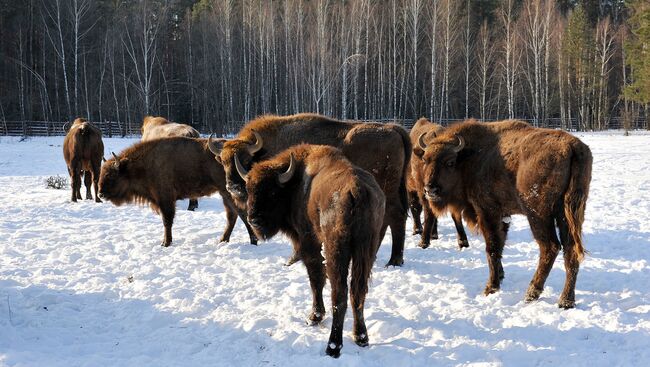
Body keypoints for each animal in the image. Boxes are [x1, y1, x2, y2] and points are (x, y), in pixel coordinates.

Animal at [97, 137, 256, 247]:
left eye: (111, 175)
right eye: (102, 173)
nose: (100, 194)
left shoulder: (165, 199)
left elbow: (167, 221)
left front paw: (165, 243)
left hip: (229, 192)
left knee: (241, 214)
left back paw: (252, 241)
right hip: (224, 194)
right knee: (232, 216)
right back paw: (223, 240)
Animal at [209, 112, 410, 268]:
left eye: (245, 160)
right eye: (223, 161)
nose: (233, 187)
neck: (266, 148)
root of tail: (394, 129)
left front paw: (292, 260)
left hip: (387, 192)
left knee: (396, 217)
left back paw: (394, 260)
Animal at [242, 144, 384, 360]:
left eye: (272, 192)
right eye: (249, 189)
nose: (254, 220)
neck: (295, 183)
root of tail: (357, 190)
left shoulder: (310, 243)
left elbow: (315, 279)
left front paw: (314, 317)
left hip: (336, 250)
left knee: (339, 293)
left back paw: (333, 347)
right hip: (367, 250)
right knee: (358, 292)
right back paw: (361, 337)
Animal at [404, 118, 466, 250]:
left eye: (450, 162)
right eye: (424, 160)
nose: (431, 189)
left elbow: (455, 215)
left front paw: (463, 242)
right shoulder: (423, 192)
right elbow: (428, 213)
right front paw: (423, 242)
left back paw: (434, 234)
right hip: (411, 189)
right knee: (415, 208)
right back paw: (418, 230)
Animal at [418, 119, 588, 310]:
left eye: (450, 162)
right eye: (425, 160)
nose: (430, 189)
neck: (470, 157)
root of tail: (572, 146)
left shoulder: (487, 211)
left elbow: (491, 247)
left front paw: (490, 288)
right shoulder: (504, 216)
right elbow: (500, 245)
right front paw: (500, 276)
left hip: (538, 215)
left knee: (550, 247)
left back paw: (531, 293)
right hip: (568, 214)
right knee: (570, 250)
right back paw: (566, 301)